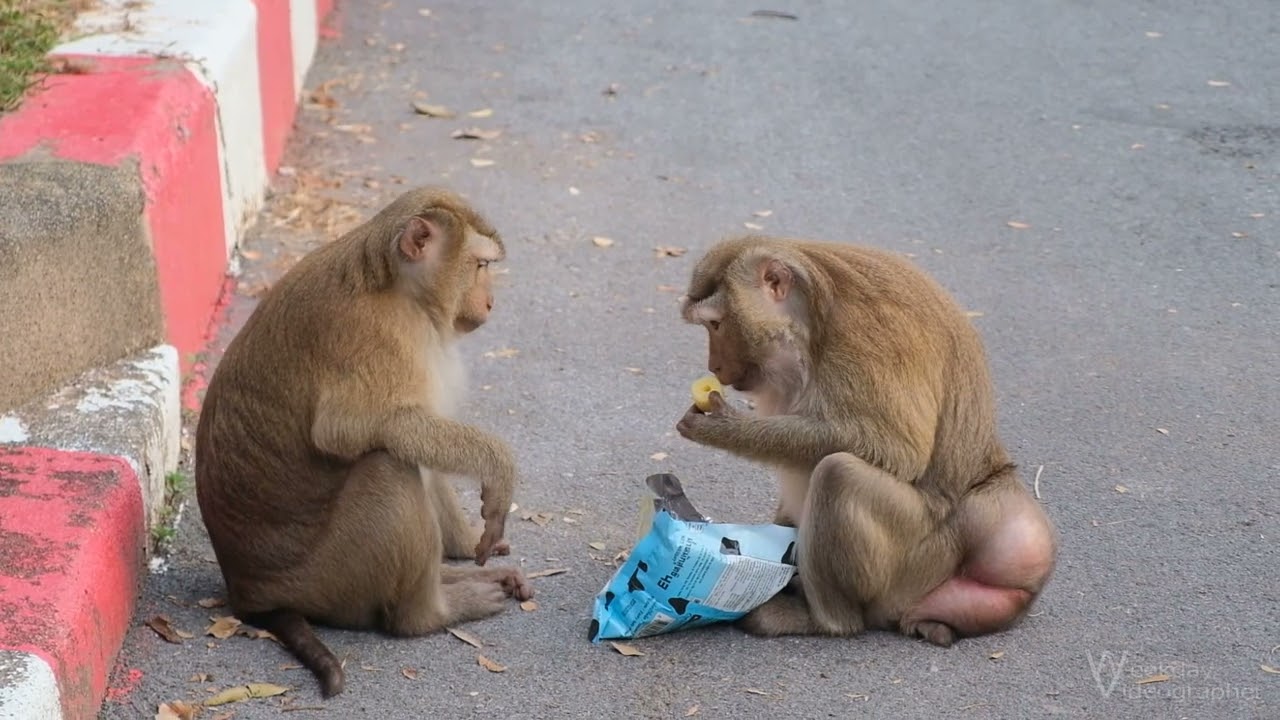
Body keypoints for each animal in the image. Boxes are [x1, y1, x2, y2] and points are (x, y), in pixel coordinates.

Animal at [194, 187, 532, 699]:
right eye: (479, 266)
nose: (490, 302)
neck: (399, 288)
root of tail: (248, 592)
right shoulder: (374, 337)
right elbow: (355, 430)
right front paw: (498, 465)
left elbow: (415, 430)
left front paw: (468, 541)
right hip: (329, 581)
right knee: (388, 465)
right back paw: (430, 613)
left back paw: (452, 574)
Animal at [675, 236, 1057, 647]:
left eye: (716, 323)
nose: (714, 366)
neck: (811, 327)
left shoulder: (863, 339)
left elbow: (898, 451)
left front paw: (721, 427)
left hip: (916, 565)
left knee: (838, 473)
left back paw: (825, 619)